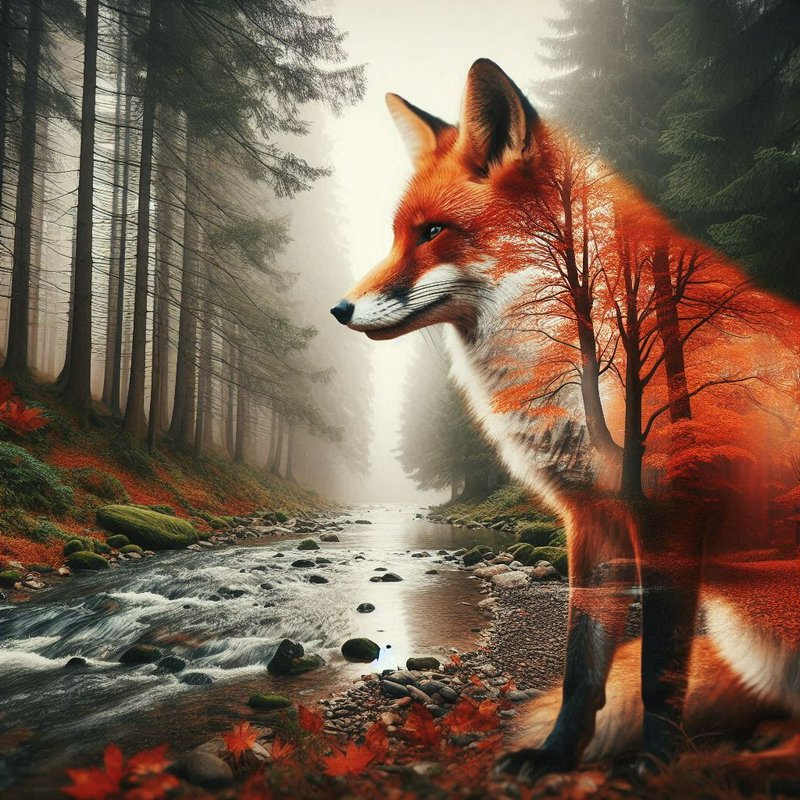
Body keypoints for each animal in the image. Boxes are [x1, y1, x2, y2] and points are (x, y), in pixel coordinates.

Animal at [331, 59, 800, 778]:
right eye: (396, 234)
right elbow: (583, 666)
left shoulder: (669, 516)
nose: (339, 309)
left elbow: (659, 670)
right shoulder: (592, 519)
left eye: (433, 232)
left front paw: (654, 766)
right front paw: (554, 756)